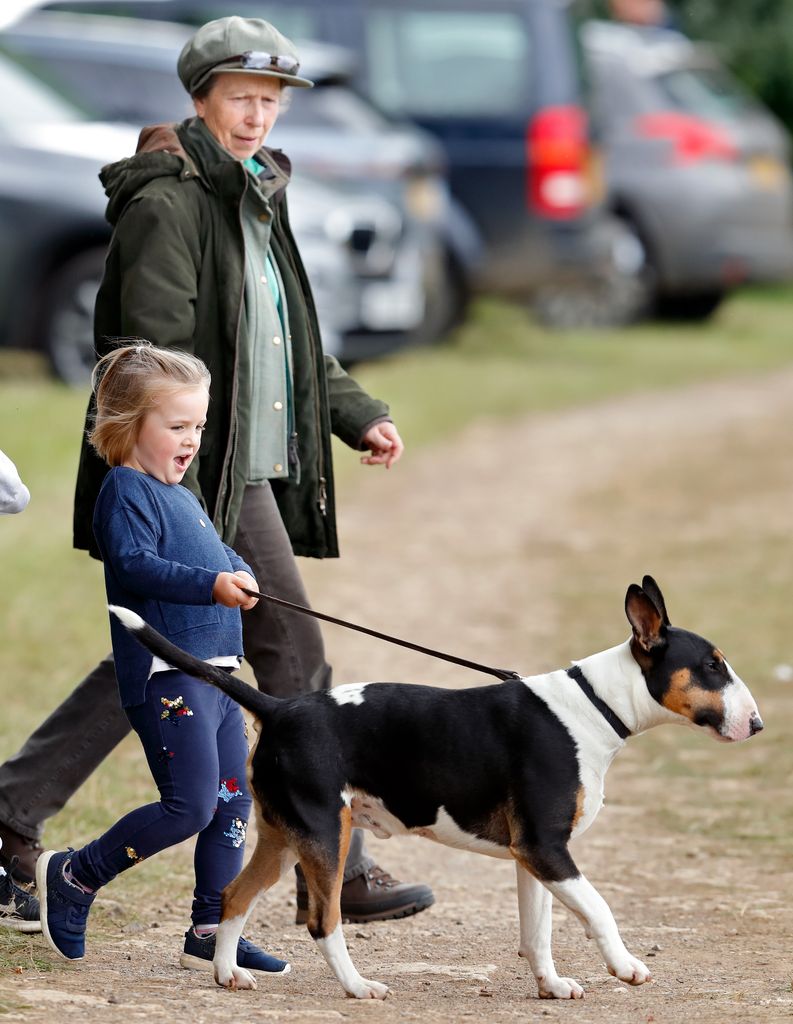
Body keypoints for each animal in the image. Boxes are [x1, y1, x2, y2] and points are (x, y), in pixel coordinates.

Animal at [111, 577, 762, 999]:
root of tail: (279, 707)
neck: (594, 705)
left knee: (234, 896)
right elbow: (598, 910)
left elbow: (539, 932)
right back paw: (360, 988)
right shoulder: (549, 849)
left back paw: (228, 976)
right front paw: (626, 968)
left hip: (282, 836)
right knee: (324, 921)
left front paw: (552, 986)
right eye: (713, 665)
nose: (756, 724)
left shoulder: (533, 856)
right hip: (325, 835)